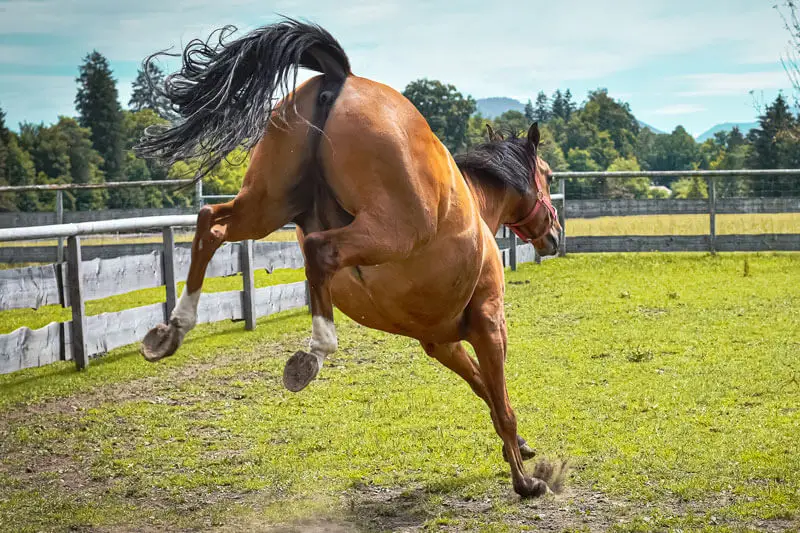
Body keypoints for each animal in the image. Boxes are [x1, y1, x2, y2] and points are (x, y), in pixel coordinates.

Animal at [136, 19, 562, 498]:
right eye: (547, 175)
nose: (554, 234)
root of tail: (341, 78)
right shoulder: (489, 324)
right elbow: (500, 400)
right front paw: (526, 480)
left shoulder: (442, 342)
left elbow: (486, 392)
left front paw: (520, 449)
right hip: (389, 231)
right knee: (318, 250)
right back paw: (313, 354)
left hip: (266, 205)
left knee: (212, 222)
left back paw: (172, 329)